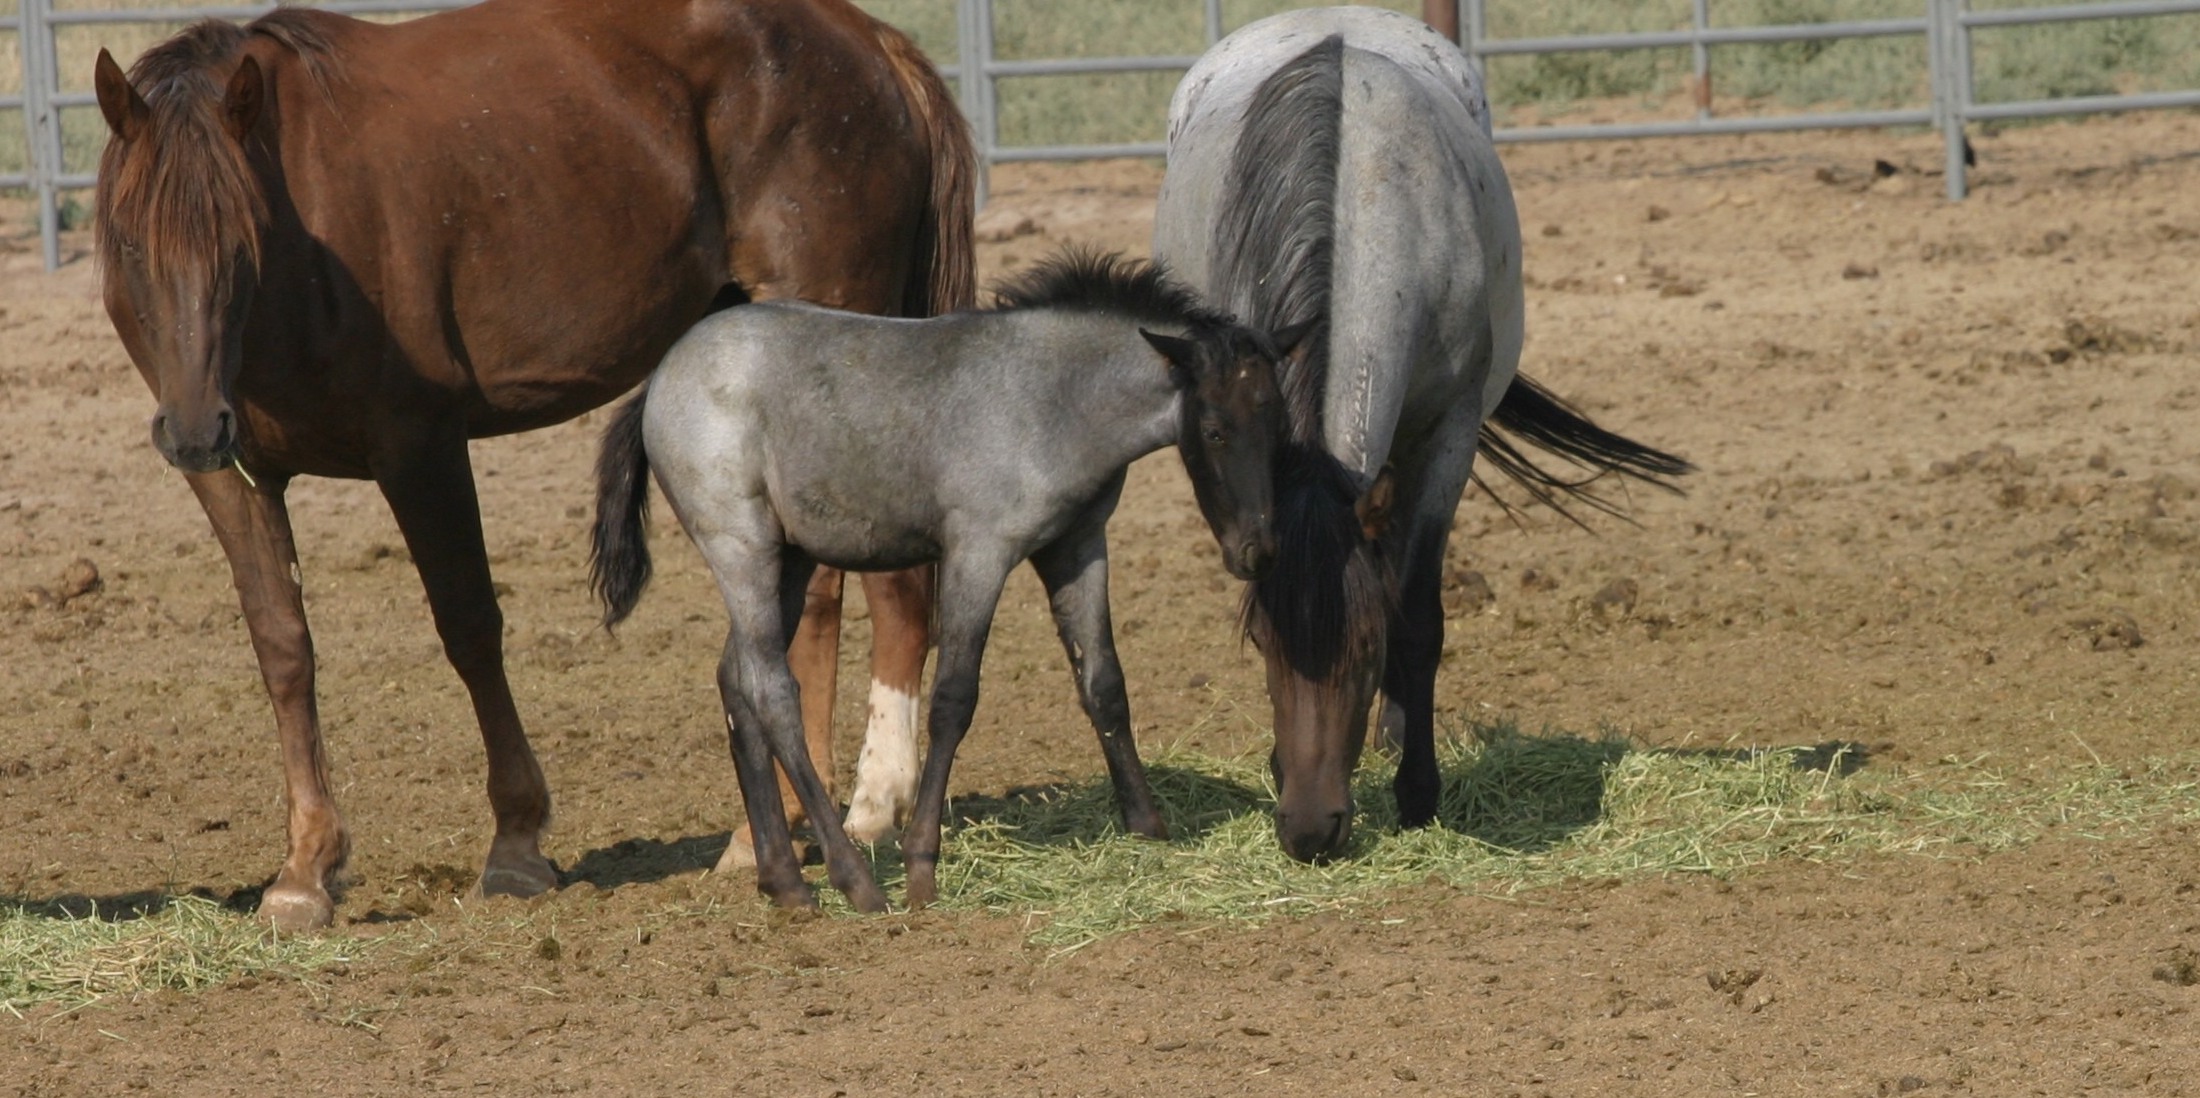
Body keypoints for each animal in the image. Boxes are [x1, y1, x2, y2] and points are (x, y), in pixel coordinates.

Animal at [94, 0, 972, 932]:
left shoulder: (421, 448)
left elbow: (470, 629)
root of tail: (868, 40)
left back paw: (810, 820)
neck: (307, 242)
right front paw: (305, 870)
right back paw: (846, 812)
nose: (192, 427)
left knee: (836, 600)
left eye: (241, 240)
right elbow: (283, 648)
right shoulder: (234, 475)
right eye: (130, 244)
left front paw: (515, 842)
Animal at [594, 251, 1293, 910]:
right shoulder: (979, 553)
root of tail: (658, 380)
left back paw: (785, 882)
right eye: (1214, 430)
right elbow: (954, 699)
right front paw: (920, 863)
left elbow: (1104, 684)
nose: (1257, 553)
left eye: (1279, 426)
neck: (1050, 400)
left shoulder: (1077, 546)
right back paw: (854, 879)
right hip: (741, 548)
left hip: (786, 560)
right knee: (772, 692)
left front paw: (1148, 827)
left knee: (736, 682)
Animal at [1161, 10, 1689, 866]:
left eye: (1366, 645)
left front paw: (1417, 789)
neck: (1354, 211)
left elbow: (1420, 616)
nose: (1310, 830)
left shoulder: (1448, 437)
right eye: (1265, 645)